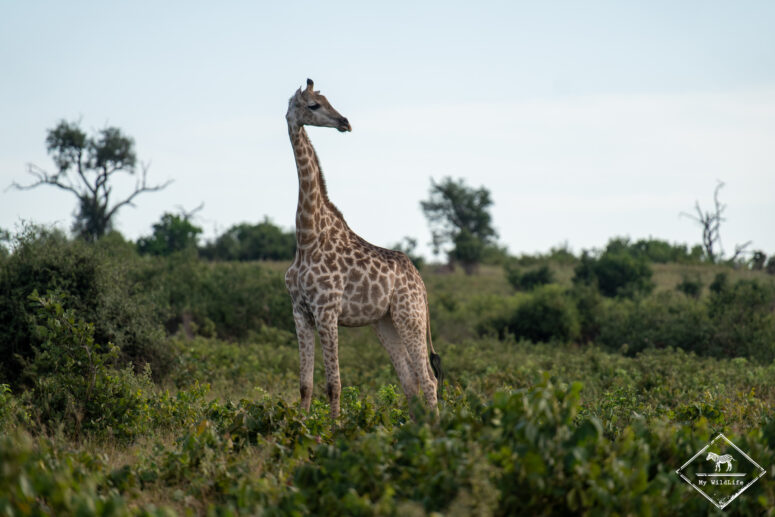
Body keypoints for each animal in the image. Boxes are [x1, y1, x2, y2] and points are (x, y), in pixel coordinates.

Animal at [284, 78, 441, 419]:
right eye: (314, 105)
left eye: (326, 101)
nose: (345, 122)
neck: (307, 238)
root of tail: (421, 283)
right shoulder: (300, 312)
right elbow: (305, 385)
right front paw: (299, 427)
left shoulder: (327, 311)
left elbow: (334, 384)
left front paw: (334, 428)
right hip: (385, 322)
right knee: (410, 381)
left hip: (410, 315)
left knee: (429, 378)